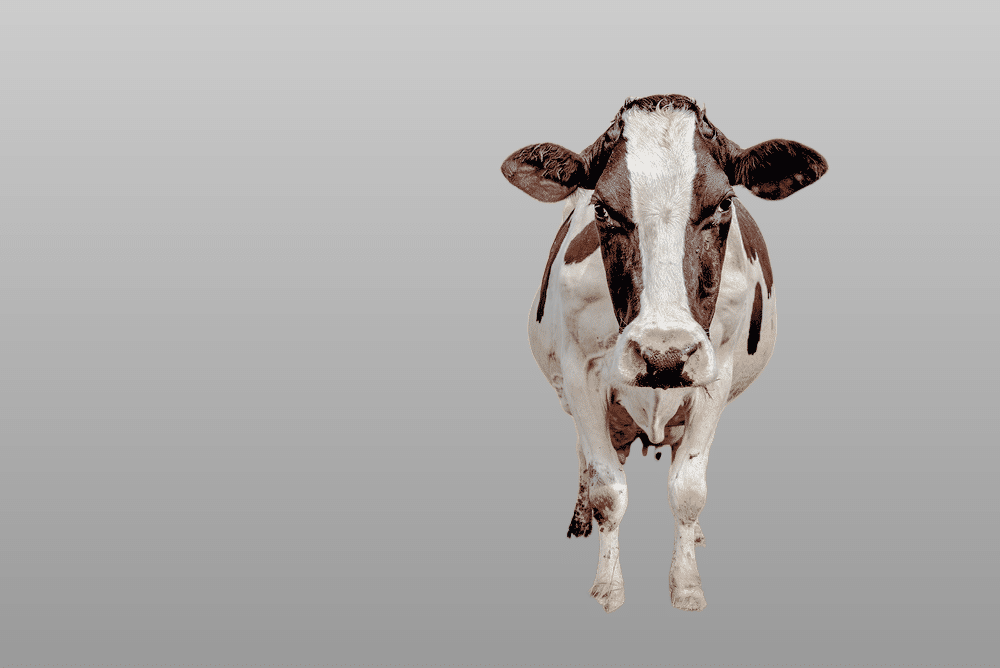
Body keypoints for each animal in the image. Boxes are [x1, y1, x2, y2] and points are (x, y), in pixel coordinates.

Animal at [501, 95, 827, 613]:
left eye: (724, 203)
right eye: (603, 208)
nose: (663, 355)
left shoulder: (716, 373)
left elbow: (688, 488)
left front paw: (687, 585)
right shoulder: (580, 374)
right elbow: (608, 489)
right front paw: (608, 587)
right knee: (586, 455)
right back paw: (580, 519)